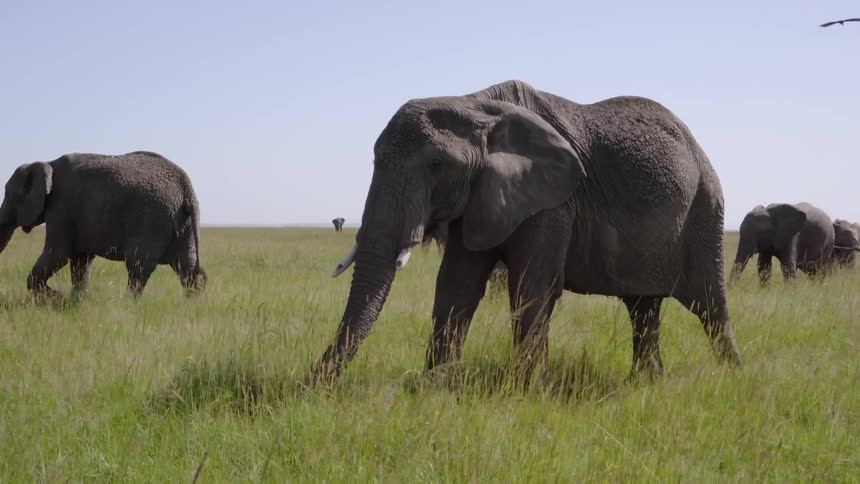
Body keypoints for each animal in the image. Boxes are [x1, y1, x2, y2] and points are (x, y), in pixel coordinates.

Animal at [0, 151, 206, 298]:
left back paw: (129, 303)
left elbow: (58, 254)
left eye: (8, 195)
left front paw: (57, 299)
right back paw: (192, 302)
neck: (47, 163)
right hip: (182, 222)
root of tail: (186, 187)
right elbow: (81, 260)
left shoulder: (60, 208)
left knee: (138, 266)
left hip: (153, 218)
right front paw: (77, 302)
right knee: (186, 266)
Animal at [316, 80, 741, 381]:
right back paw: (646, 383)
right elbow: (457, 284)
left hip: (705, 209)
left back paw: (732, 377)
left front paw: (528, 389)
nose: (314, 384)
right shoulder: (482, 196)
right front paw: (437, 385)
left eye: (437, 166)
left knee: (709, 305)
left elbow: (531, 286)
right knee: (643, 307)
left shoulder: (554, 201)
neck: (474, 103)